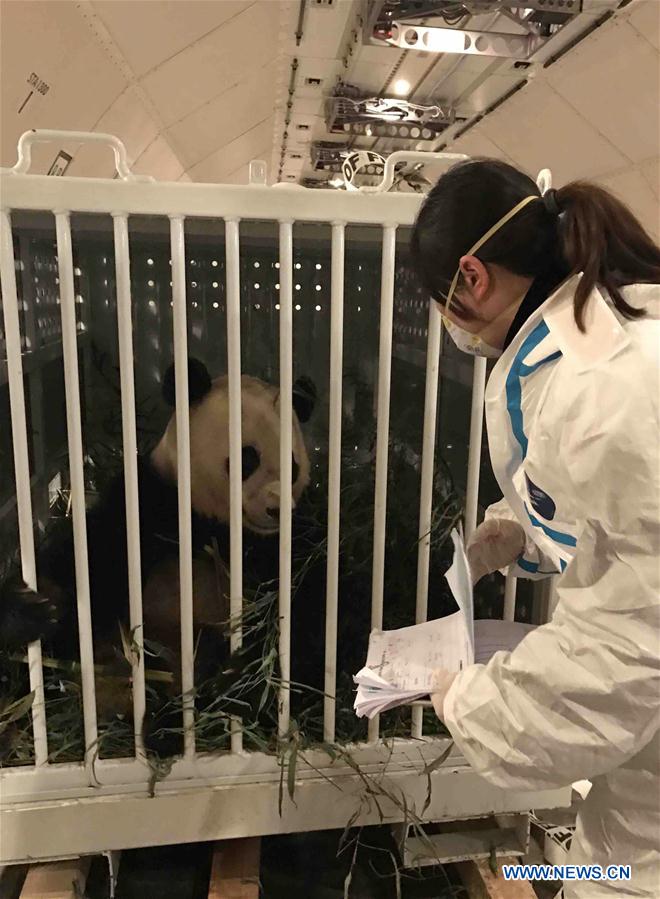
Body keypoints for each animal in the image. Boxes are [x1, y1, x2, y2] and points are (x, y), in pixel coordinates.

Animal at [0, 358, 316, 754]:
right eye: (247, 459)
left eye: (293, 466)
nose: (276, 509)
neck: (212, 523)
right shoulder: (145, 502)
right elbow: (88, 562)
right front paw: (28, 608)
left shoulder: (281, 546)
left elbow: (297, 613)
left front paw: (244, 674)